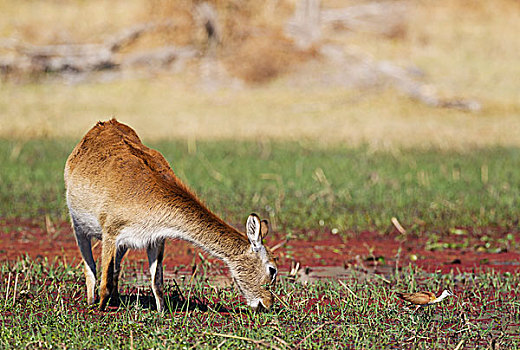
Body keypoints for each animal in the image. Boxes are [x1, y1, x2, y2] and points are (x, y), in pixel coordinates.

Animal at [64, 119, 280, 312]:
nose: (267, 304)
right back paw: (91, 301)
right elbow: (104, 280)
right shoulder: (110, 233)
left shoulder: (155, 240)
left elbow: (156, 281)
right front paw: (101, 308)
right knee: (90, 267)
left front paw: (161, 312)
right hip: (79, 227)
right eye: (272, 269)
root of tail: (104, 123)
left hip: (123, 245)